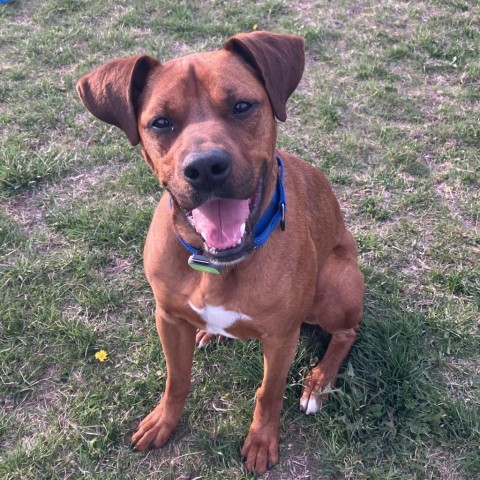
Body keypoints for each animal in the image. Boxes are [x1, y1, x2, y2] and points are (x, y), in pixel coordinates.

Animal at [78, 31, 364, 474]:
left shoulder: (281, 338)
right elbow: (177, 378)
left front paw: (262, 441)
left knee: (346, 333)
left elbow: (268, 392)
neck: (216, 265)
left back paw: (319, 382)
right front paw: (163, 421)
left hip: (333, 286)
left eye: (242, 106)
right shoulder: (168, 318)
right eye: (161, 122)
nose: (206, 167)